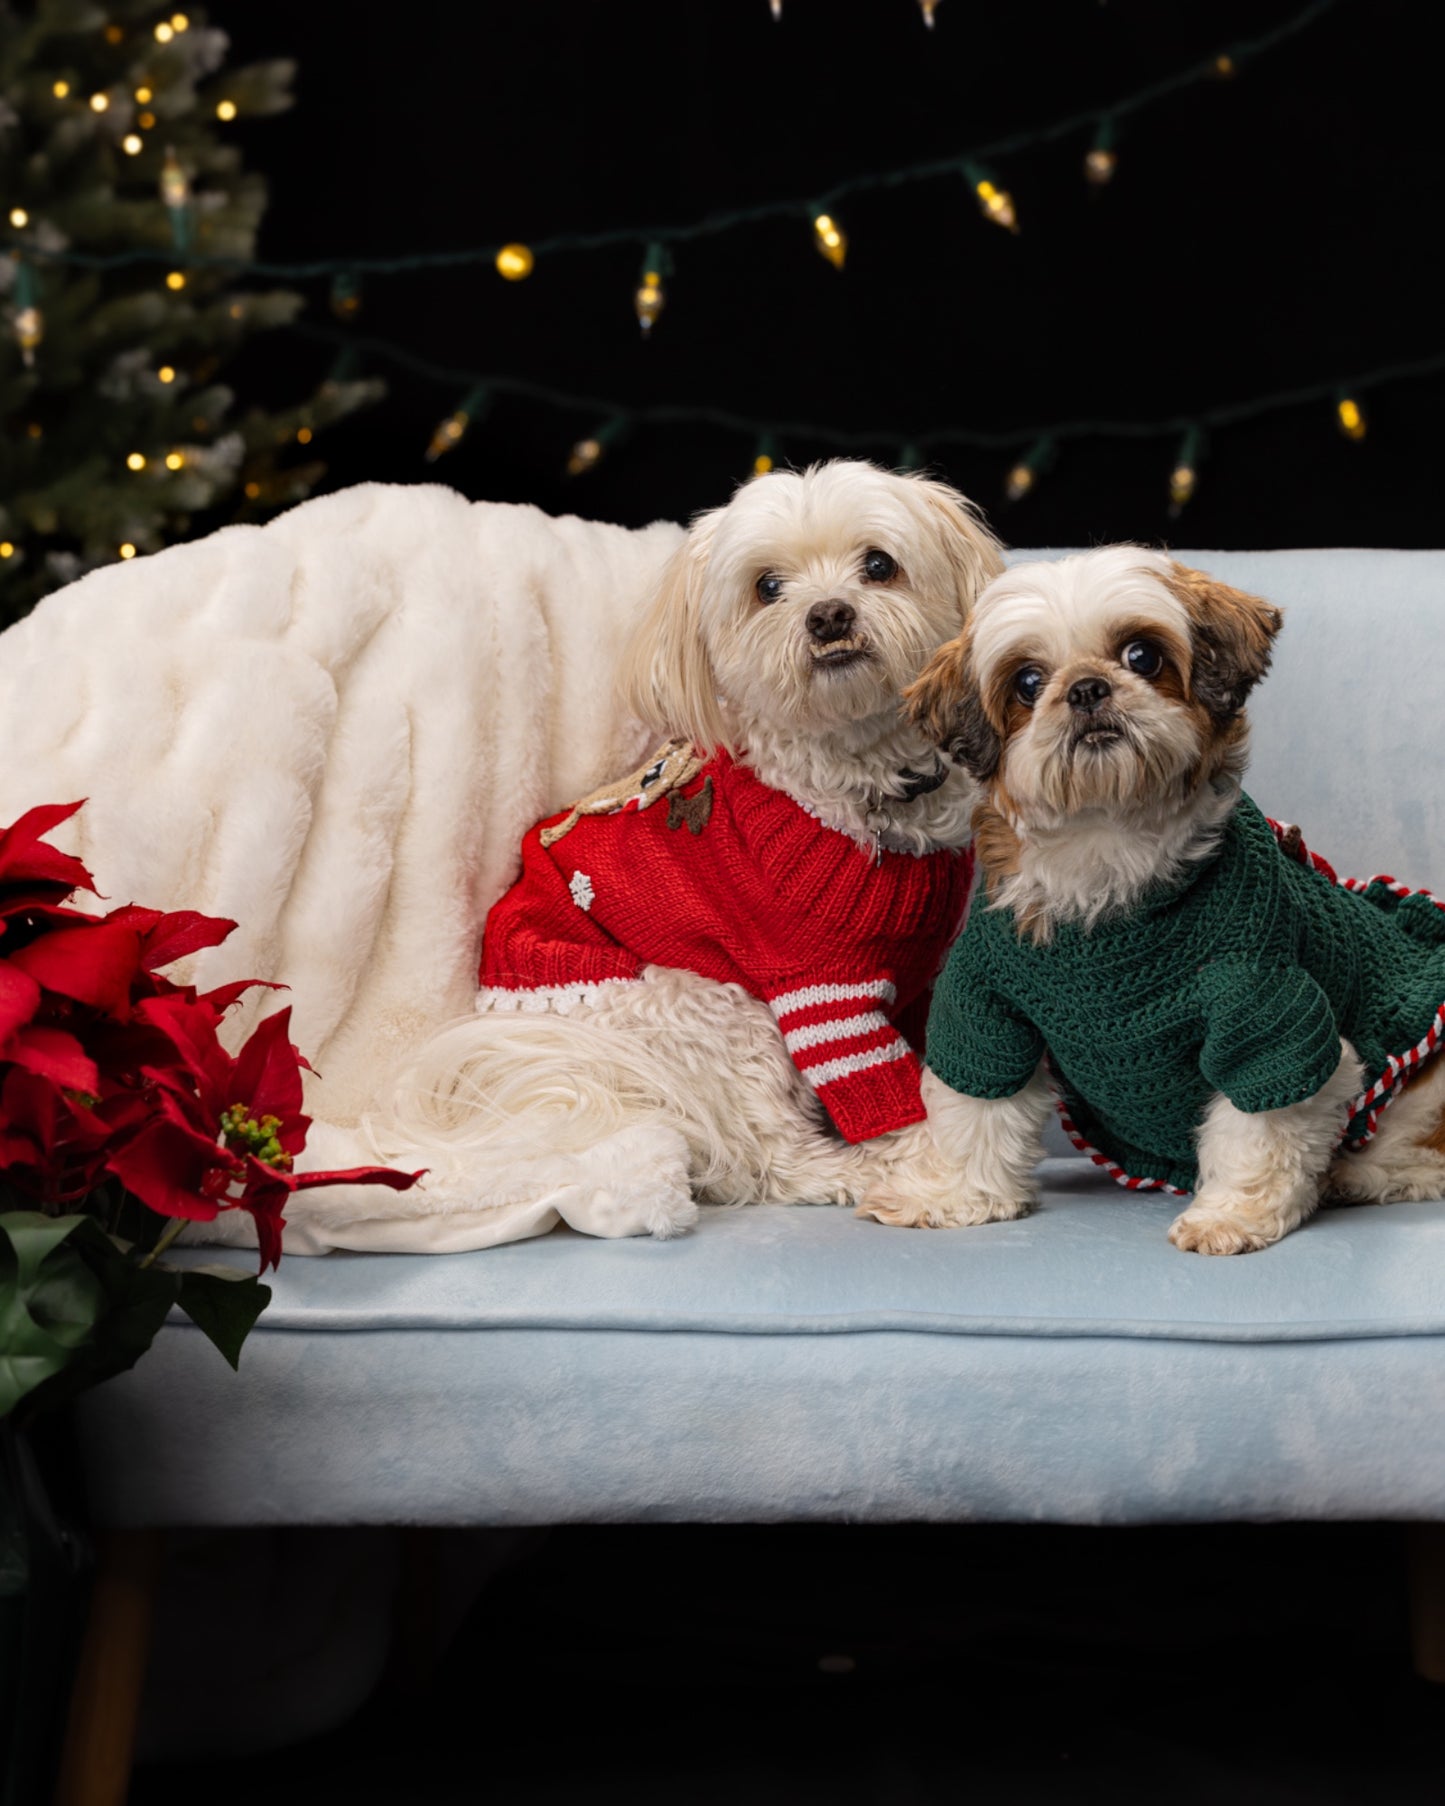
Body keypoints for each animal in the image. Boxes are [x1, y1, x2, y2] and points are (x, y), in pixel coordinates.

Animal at [372, 458, 1004, 1242]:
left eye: (879, 565)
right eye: (768, 586)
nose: (828, 615)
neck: (867, 785)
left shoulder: (915, 980)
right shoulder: (821, 993)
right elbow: (880, 1088)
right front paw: (929, 1171)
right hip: (709, 1006)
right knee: (764, 1156)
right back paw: (840, 1171)